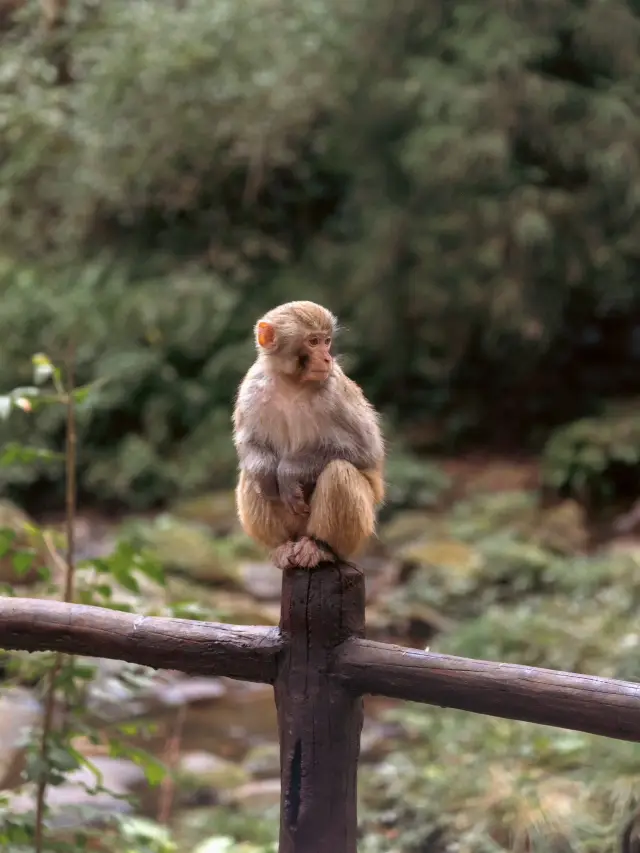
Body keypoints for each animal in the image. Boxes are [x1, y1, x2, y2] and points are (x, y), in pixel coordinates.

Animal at [232, 300, 385, 570]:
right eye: (313, 342)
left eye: (326, 341)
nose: (326, 358)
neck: (291, 383)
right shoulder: (252, 385)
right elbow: (250, 442)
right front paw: (266, 470)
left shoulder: (335, 391)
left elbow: (366, 449)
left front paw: (289, 472)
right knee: (250, 475)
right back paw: (281, 545)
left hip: (357, 534)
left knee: (338, 471)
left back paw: (321, 547)